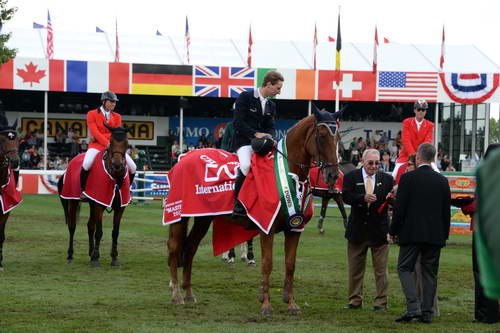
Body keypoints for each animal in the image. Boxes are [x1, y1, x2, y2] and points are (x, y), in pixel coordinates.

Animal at [57, 124, 132, 268]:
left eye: (126, 143)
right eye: (111, 142)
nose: (117, 164)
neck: (115, 176)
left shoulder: (120, 207)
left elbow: (115, 232)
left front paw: (114, 258)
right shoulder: (99, 204)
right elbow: (99, 232)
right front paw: (96, 259)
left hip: (92, 202)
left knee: (90, 225)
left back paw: (90, 253)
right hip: (73, 201)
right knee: (72, 226)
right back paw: (70, 255)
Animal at [167, 108, 340, 314]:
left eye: (338, 137)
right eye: (321, 136)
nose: (333, 175)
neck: (287, 174)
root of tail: (183, 158)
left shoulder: (294, 228)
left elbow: (290, 265)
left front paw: (291, 303)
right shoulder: (267, 227)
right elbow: (267, 263)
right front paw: (265, 304)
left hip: (203, 218)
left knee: (191, 248)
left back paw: (189, 293)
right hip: (179, 215)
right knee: (174, 248)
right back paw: (176, 295)